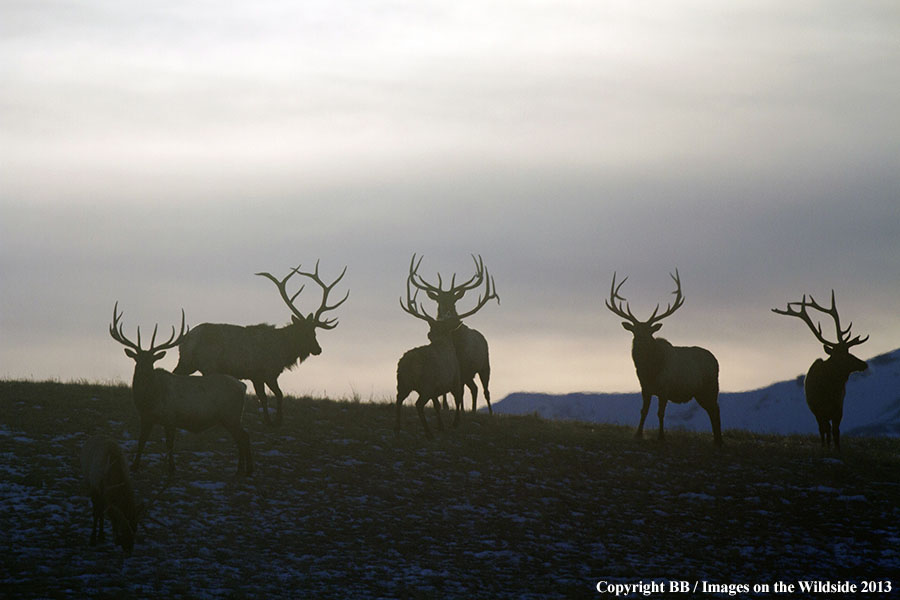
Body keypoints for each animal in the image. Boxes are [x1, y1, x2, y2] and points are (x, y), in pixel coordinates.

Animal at [112, 302, 255, 476]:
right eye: (137, 359)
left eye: (152, 360)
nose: (144, 371)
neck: (149, 399)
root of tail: (242, 386)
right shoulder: (146, 417)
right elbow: (141, 441)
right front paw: (134, 466)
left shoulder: (170, 417)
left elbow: (169, 444)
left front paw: (171, 468)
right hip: (230, 417)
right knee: (242, 437)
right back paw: (242, 469)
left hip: (231, 415)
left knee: (244, 437)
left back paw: (245, 470)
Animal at [174, 260, 350, 424]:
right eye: (304, 333)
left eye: (314, 332)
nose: (318, 349)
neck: (283, 351)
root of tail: (186, 339)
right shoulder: (265, 373)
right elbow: (275, 395)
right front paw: (275, 420)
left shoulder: (258, 375)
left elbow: (266, 396)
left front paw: (270, 420)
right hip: (209, 365)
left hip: (187, 363)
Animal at [408, 252, 500, 412]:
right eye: (438, 300)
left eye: (454, 300)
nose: (446, 314)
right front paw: (446, 406)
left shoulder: (462, 367)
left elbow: (460, 391)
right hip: (469, 374)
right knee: (473, 388)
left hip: (484, 366)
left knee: (485, 391)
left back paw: (489, 413)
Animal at [604, 270, 724, 446]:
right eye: (634, 331)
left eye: (649, 332)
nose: (640, 342)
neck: (650, 370)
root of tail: (716, 361)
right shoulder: (645, 387)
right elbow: (644, 411)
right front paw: (638, 434)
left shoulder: (665, 388)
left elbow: (660, 413)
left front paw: (661, 436)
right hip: (701, 392)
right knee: (712, 409)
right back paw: (716, 440)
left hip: (711, 386)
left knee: (715, 409)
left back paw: (719, 440)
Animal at [768, 290, 868, 450]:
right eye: (843, 355)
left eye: (849, 351)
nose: (864, 364)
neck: (829, 391)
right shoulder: (818, 410)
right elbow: (825, 429)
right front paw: (826, 448)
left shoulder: (839, 408)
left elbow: (836, 431)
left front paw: (837, 449)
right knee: (823, 429)